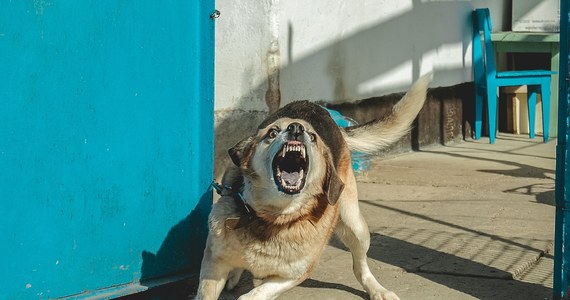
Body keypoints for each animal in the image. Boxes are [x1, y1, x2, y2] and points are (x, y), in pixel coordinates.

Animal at [195, 73, 430, 300]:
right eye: (272, 133)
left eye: (313, 137)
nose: (296, 128)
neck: (271, 217)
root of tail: (317, 107)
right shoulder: (213, 264)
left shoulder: (293, 275)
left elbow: (251, 296)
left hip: (355, 226)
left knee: (360, 267)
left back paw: (378, 290)